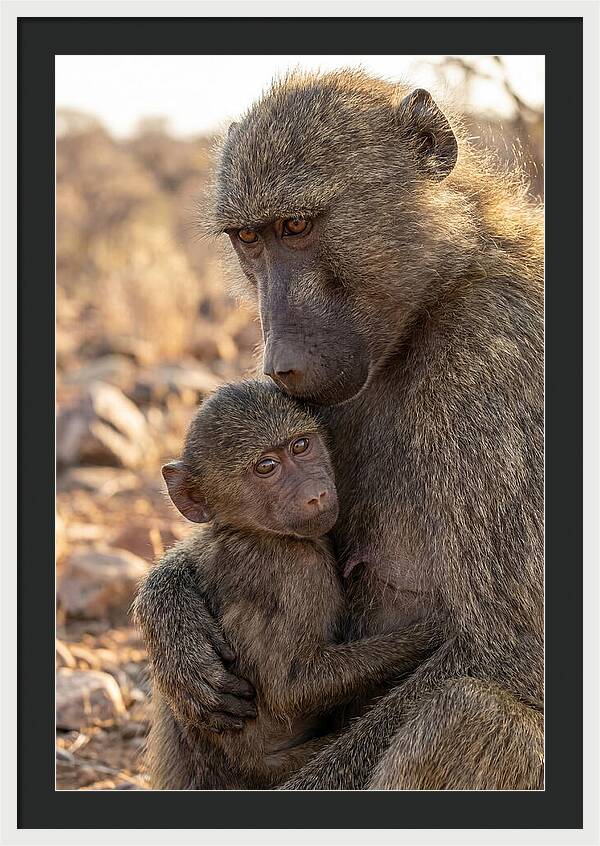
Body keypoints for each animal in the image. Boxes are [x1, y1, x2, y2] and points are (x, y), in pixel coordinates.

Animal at [133, 379, 437, 789]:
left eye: (301, 446)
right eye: (266, 467)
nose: (316, 494)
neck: (252, 531)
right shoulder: (298, 570)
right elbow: (290, 688)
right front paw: (432, 633)